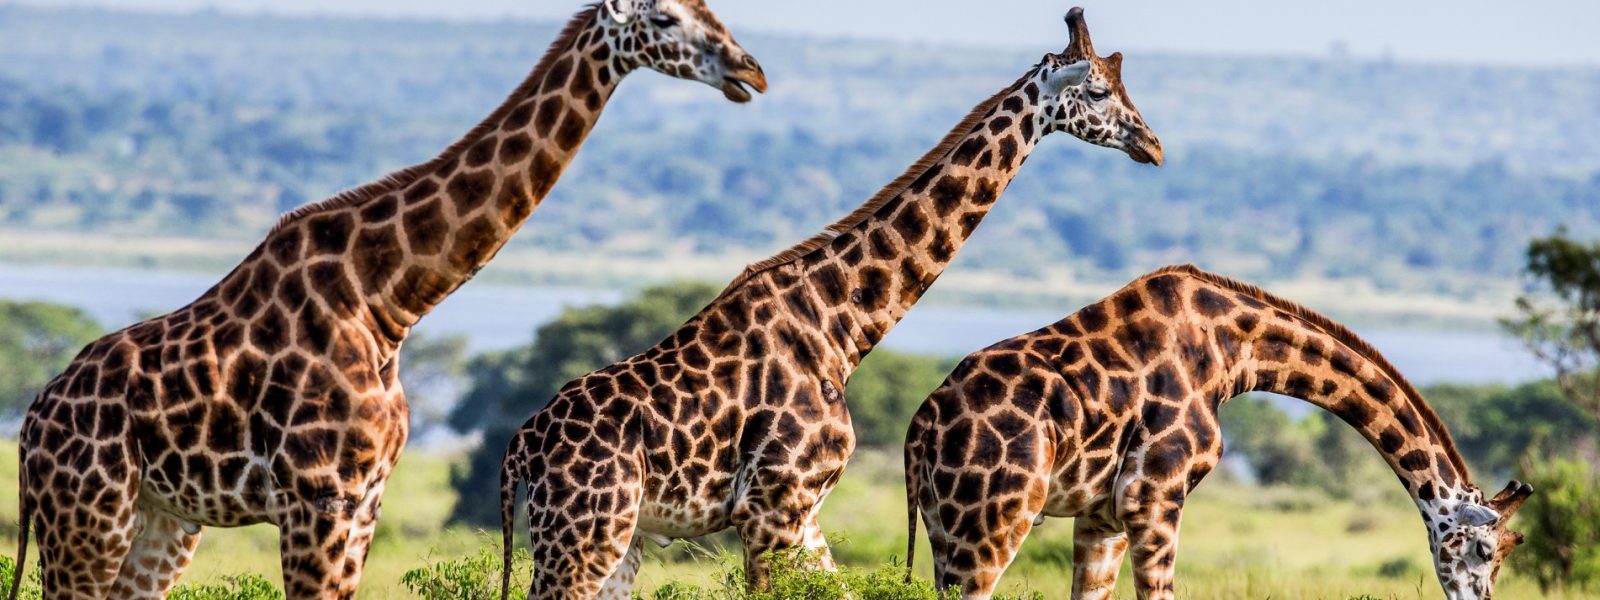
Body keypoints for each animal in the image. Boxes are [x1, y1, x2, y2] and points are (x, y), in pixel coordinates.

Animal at [7, 2, 766, 598]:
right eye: (665, 18)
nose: (750, 71)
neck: (387, 300)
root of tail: (32, 425)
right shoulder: (319, 499)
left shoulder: (365, 502)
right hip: (88, 516)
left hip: (161, 520)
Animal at [496, 8, 1162, 599]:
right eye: (1098, 91)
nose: (1152, 145)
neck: (840, 324)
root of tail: (521, 448)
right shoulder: (770, 508)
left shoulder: (804, 511)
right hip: (585, 532)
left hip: (620, 536)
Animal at [902, 264, 1535, 600]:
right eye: (1484, 549)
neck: (1233, 352)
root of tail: (921, 427)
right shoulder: (1154, 499)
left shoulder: (1103, 516)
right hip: (993, 522)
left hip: (945, 526)